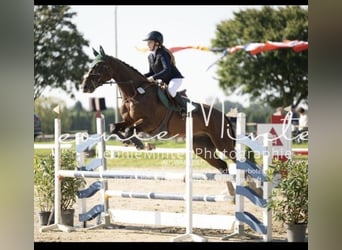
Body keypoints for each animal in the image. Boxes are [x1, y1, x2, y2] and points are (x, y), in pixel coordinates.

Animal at [82, 46, 238, 196]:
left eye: (100, 66)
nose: (84, 87)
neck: (135, 93)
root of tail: (223, 115)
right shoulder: (129, 120)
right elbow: (115, 127)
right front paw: (128, 142)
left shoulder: (149, 123)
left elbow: (129, 130)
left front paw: (141, 144)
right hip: (202, 148)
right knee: (223, 165)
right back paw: (232, 193)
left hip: (223, 143)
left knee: (237, 161)